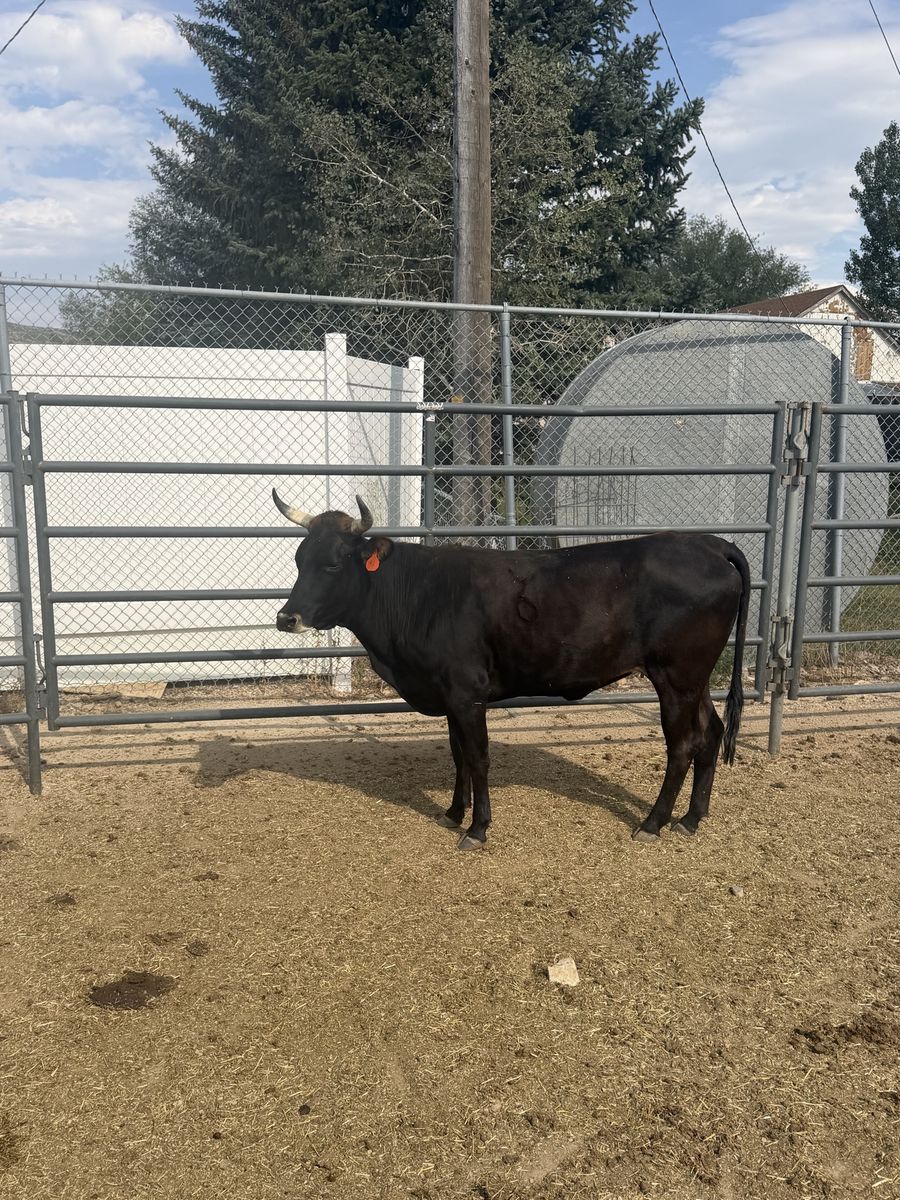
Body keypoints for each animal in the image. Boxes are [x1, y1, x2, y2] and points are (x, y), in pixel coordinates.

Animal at [273, 492, 750, 850]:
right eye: (298, 559)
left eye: (334, 563)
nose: (285, 617)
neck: (419, 594)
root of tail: (709, 545)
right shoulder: (451, 694)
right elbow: (458, 754)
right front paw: (453, 812)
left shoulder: (468, 692)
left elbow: (479, 757)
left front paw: (478, 828)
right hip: (695, 679)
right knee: (711, 732)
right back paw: (691, 818)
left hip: (676, 677)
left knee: (683, 745)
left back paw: (653, 822)